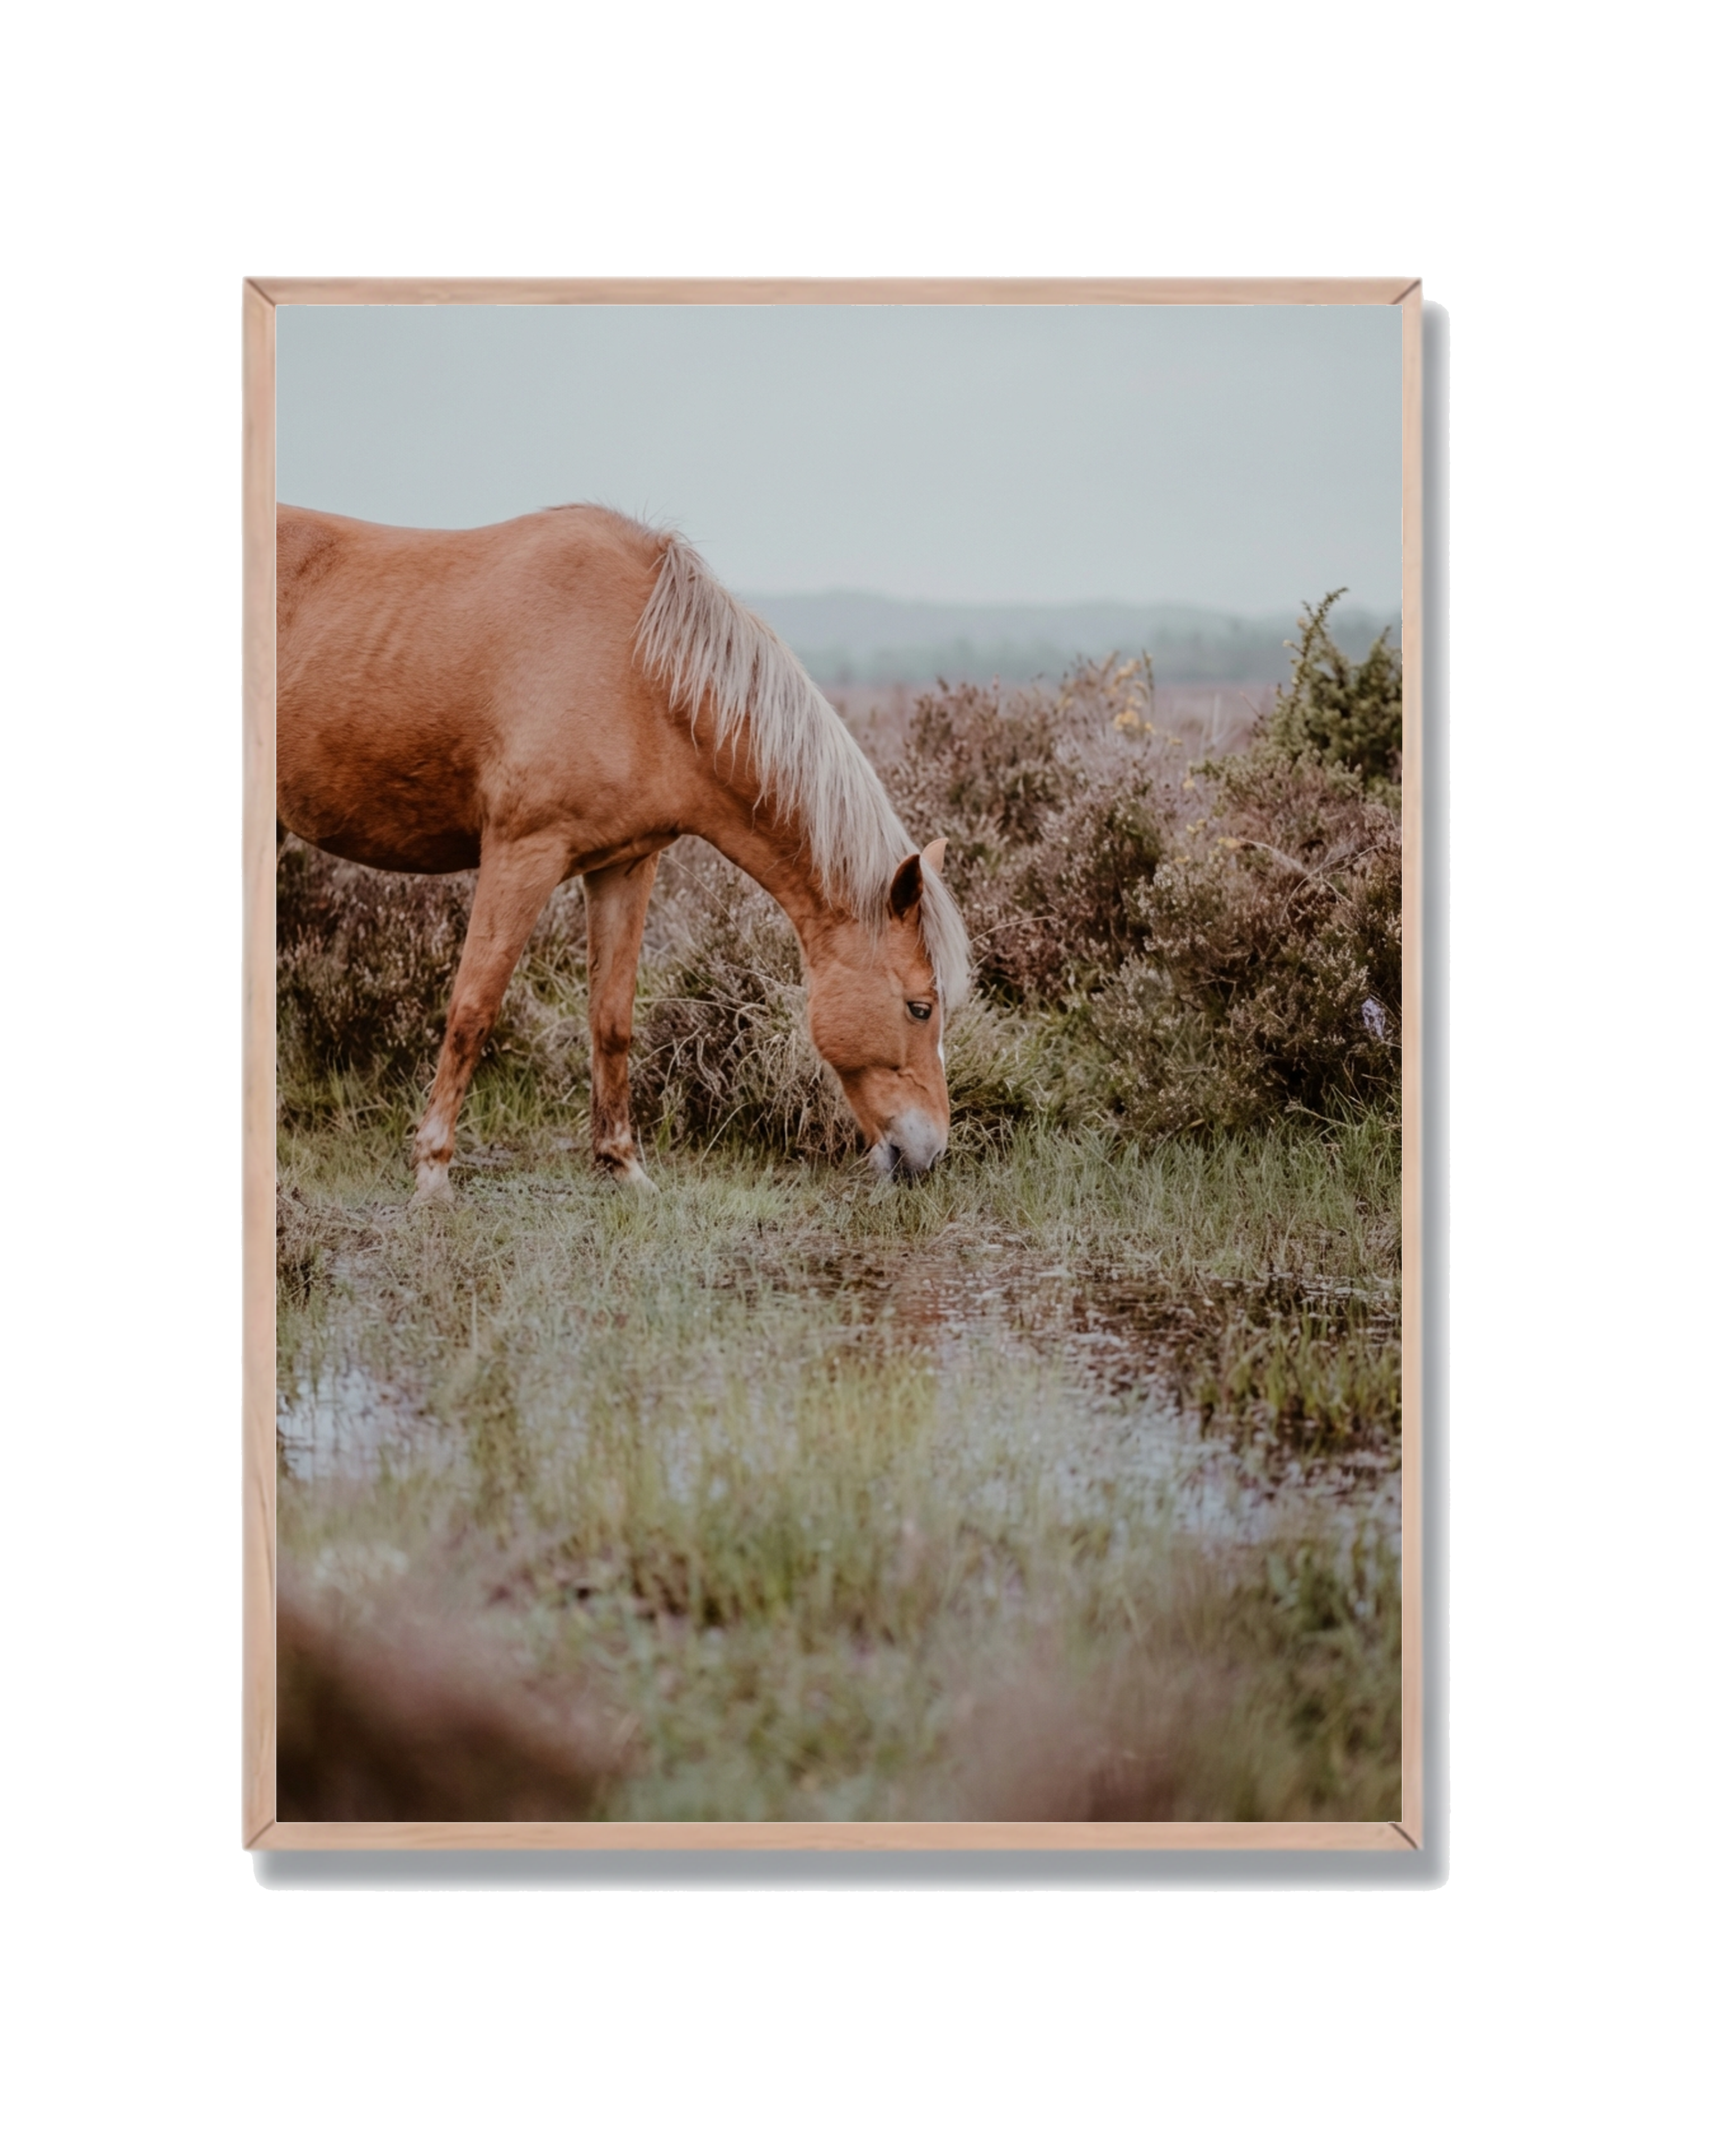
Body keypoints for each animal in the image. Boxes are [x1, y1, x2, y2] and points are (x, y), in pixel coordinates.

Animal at [276, 503, 970, 1198]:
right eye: (920, 1007)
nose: (930, 1153)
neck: (641, 672)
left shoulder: (624, 867)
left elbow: (611, 1020)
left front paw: (623, 1164)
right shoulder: (522, 853)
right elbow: (473, 1009)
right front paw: (433, 1170)